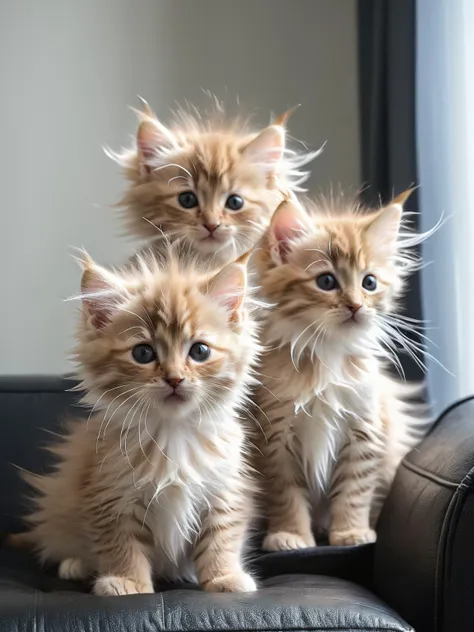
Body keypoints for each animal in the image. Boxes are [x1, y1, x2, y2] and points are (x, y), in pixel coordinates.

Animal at [11, 249, 262, 596]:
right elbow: (122, 545)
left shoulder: (224, 491)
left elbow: (221, 539)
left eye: (200, 351)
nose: (174, 378)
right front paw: (127, 582)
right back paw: (75, 564)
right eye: (143, 353)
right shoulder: (110, 495)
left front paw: (224, 577)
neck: (173, 434)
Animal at [254, 191, 428, 548]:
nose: (356, 305)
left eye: (369, 282)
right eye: (326, 281)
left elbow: (354, 491)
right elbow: (285, 496)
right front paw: (290, 535)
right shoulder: (275, 438)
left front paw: (350, 532)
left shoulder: (364, 429)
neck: (327, 356)